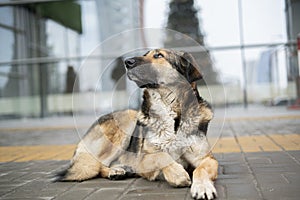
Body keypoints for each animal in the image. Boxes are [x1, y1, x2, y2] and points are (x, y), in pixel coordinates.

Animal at [55, 48, 218, 200]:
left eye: (158, 55)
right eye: (145, 54)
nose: (127, 62)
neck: (173, 117)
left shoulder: (207, 159)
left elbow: (200, 170)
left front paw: (203, 187)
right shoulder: (143, 161)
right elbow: (161, 156)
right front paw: (178, 174)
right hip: (126, 124)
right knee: (97, 165)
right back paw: (115, 171)